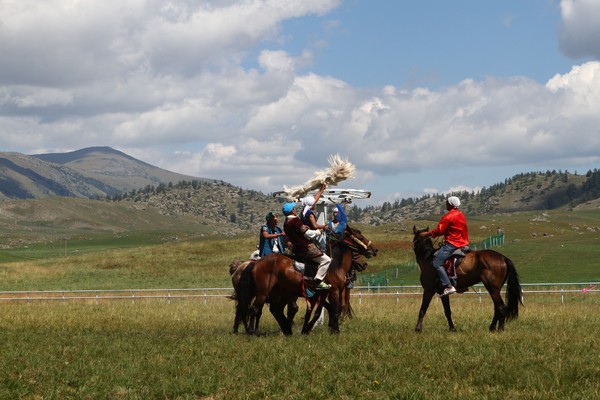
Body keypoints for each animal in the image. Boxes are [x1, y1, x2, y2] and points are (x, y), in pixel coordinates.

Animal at [233, 225, 376, 334]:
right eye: (360, 237)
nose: (374, 249)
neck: (334, 266)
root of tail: (255, 263)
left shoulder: (322, 294)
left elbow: (320, 312)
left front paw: (308, 329)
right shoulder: (333, 291)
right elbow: (335, 310)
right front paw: (334, 330)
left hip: (278, 293)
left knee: (271, 310)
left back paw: (286, 330)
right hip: (262, 293)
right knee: (253, 310)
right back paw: (252, 331)